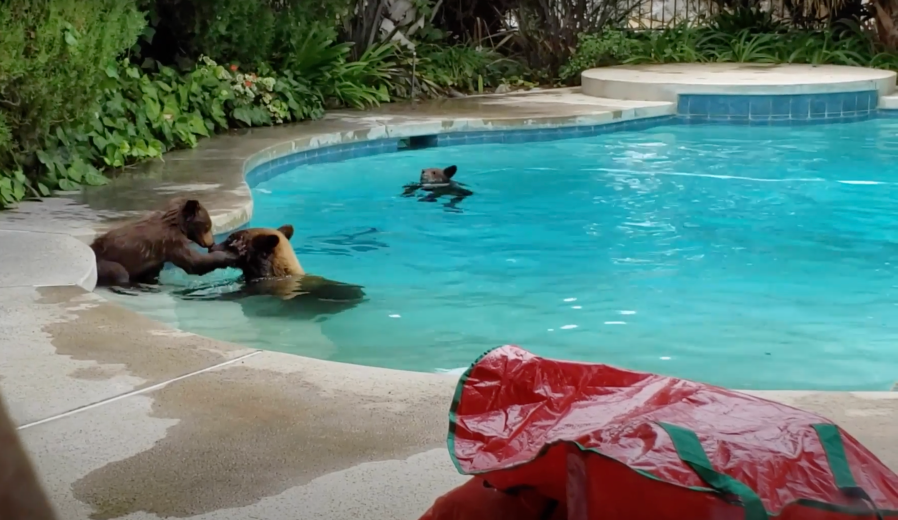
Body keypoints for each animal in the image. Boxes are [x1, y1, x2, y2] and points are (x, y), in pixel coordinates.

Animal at [90, 198, 236, 290]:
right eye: (207, 226)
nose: (211, 243)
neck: (177, 225)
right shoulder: (171, 243)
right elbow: (194, 263)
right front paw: (225, 256)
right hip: (102, 262)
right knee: (118, 272)